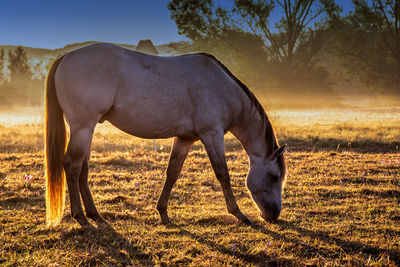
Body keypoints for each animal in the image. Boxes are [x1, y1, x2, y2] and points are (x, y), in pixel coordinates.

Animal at [45, 43, 286, 227]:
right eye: (274, 177)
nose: (273, 215)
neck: (222, 88)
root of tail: (65, 57)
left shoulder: (185, 139)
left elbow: (172, 173)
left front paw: (163, 213)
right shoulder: (212, 135)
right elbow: (222, 174)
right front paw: (239, 214)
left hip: (86, 129)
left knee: (82, 168)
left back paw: (95, 214)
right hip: (83, 127)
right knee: (72, 165)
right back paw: (80, 216)